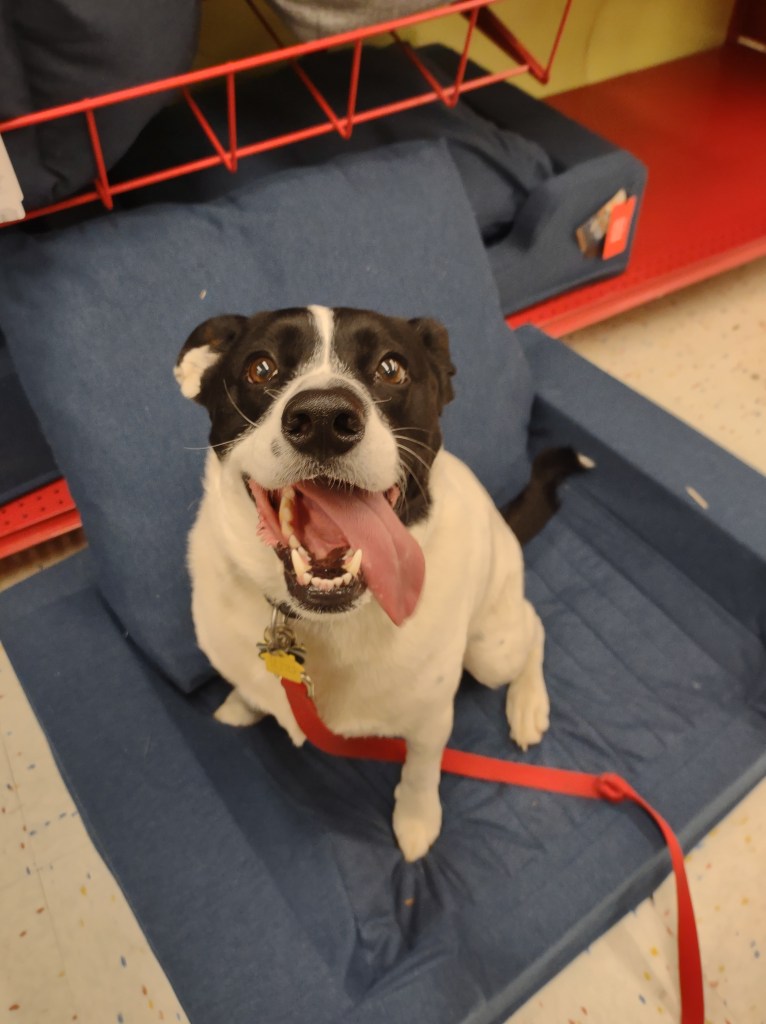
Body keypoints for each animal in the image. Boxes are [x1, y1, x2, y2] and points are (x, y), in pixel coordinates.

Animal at [175, 305, 550, 861]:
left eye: (391, 368)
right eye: (260, 368)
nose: (323, 420)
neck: (320, 623)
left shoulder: (430, 719)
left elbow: (420, 770)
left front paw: (416, 820)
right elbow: (247, 684)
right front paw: (244, 703)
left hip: (490, 650)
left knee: (535, 627)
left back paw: (529, 704)